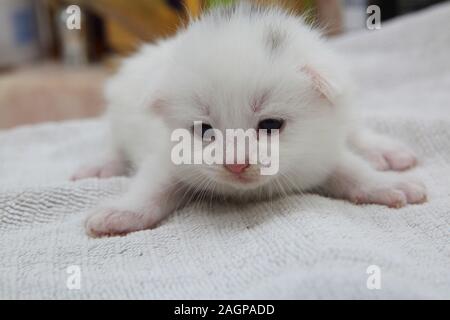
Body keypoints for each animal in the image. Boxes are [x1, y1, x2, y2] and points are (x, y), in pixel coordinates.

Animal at [73, 3, 426, 238]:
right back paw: (101, 165)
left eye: (270, 125)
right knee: (115, 143)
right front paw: (124, 212)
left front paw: (385, 185)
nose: (236, 165)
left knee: (353, 130)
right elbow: (151, 184)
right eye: (204, 130)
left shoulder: (319, 149)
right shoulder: (168, 155)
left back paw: (385, 152)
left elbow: (351, 170)